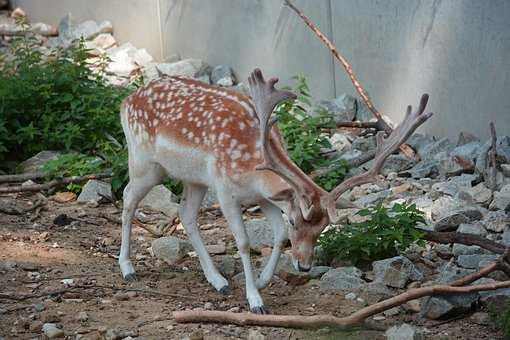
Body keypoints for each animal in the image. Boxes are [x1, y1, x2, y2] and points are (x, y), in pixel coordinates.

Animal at [119, 68, 434, 314]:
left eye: (323, 227)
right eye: (297, 221)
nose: (304, 267)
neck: (253, 167)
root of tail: (127, 100)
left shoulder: (264, 197)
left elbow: (278, 234)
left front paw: (261, 280)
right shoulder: (224, 190)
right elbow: (244, 242)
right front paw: (255, 300)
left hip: (193, 180)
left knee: (185, 213)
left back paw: (218, 281)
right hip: (145, 163)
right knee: (128, 197)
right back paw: (127, 269)